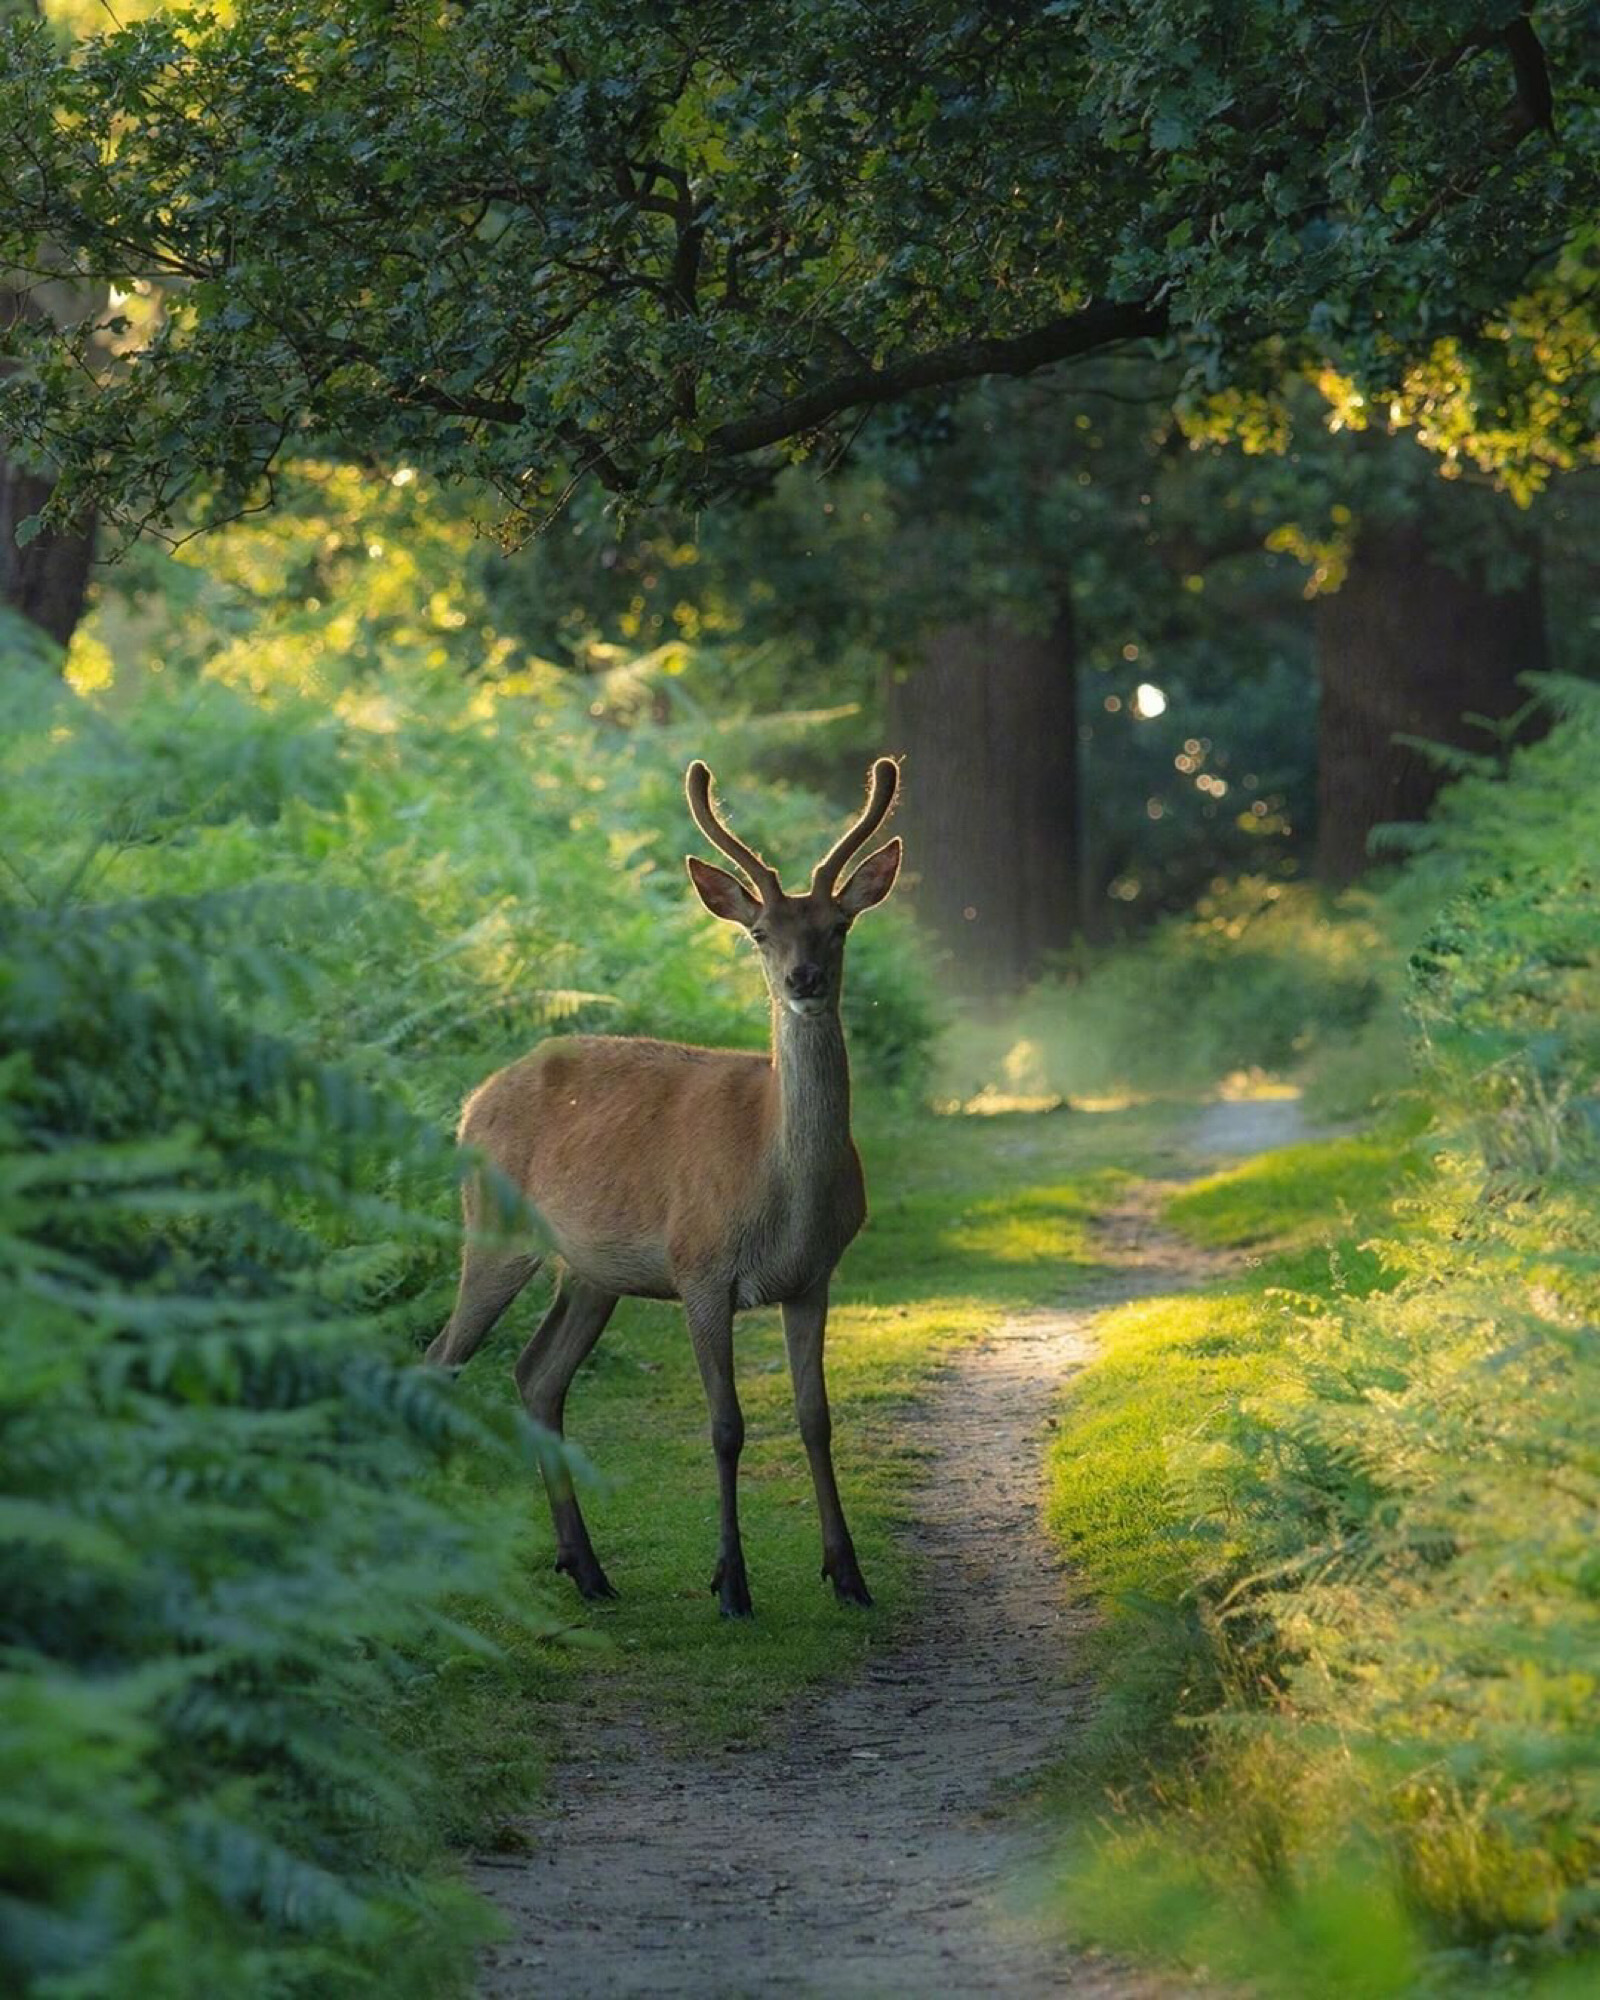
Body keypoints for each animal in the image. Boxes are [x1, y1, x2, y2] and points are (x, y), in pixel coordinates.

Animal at [424, 756, 900, 1616]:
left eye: (838, 927)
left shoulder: (815, 1276)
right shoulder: (699, 1266)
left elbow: (815, 1418)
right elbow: (726, 1425)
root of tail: (472, 1100)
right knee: (440, 1358)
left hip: (591, 1272)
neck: (781, 1193)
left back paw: (586, 1568)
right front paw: (731, 1584)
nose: (804, 978)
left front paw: (848, 1575)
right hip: (495, 1232)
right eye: (760, 933)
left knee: (536, 1375)